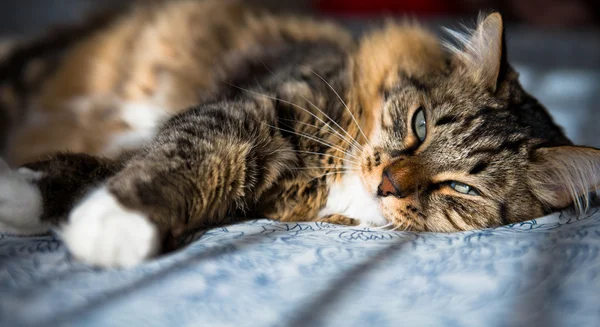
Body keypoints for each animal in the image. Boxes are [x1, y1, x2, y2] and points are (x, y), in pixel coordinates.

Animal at [1, 0, 600, 270]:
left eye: (461, 189)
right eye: (420, 125)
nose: (387, 184)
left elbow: (113, 167)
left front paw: (101, 221)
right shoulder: (247, 112)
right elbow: (178, 155)